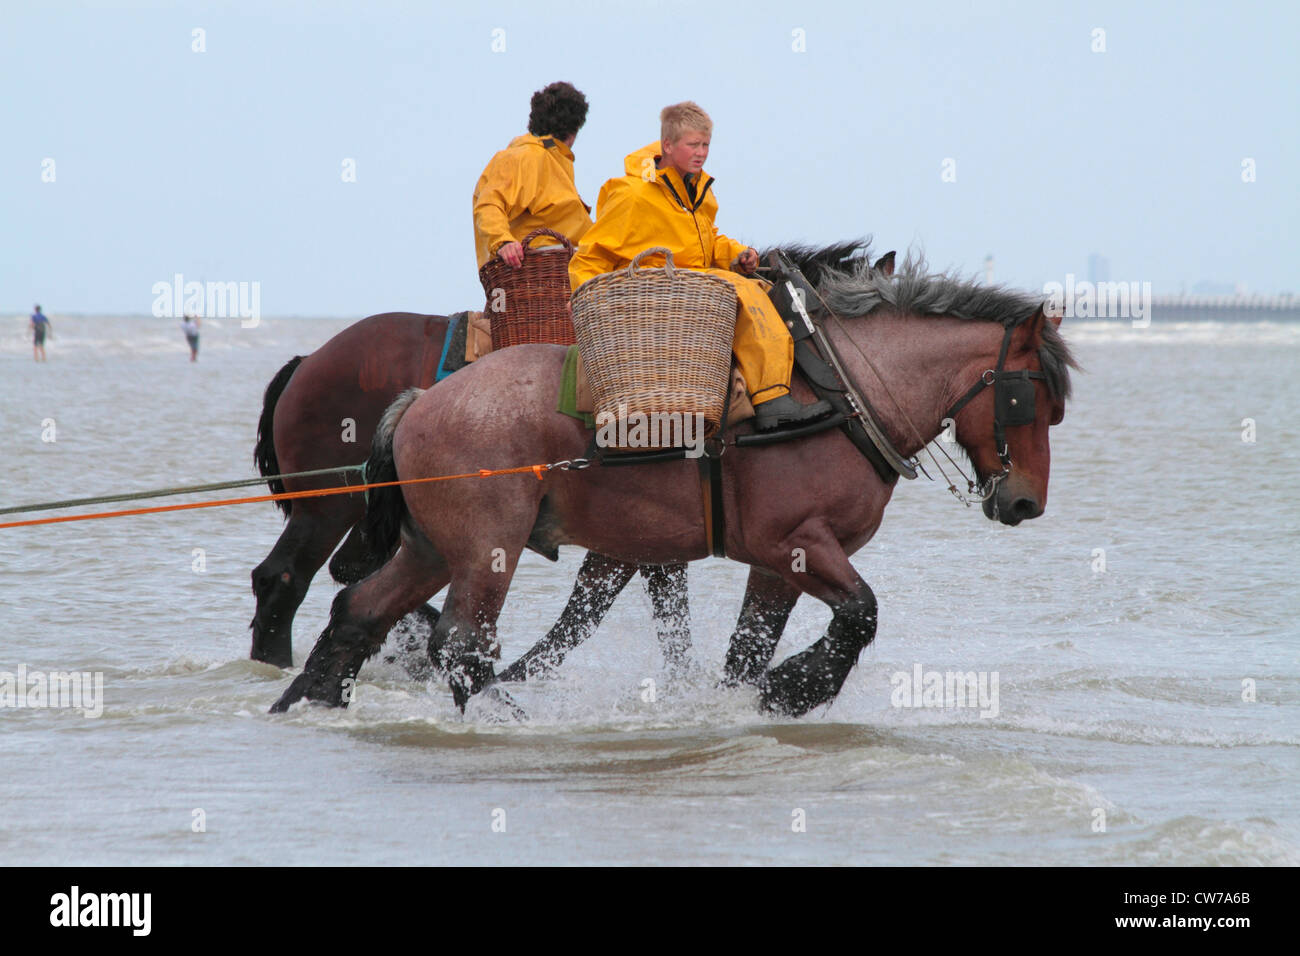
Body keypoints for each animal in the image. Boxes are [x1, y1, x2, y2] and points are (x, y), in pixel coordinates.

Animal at [269, 247, 1071, 717]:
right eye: (1028, 401)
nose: (1027, 501)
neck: (834, 391)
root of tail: (422, 400)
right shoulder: (794, 545)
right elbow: (861, 614)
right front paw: (797, 688)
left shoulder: (771, 563)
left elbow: (747, 650)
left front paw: (752, 695)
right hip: (484, 550)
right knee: (458, 643)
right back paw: (499, 715)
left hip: (435, 547)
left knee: (359, 609)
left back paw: (307, 699)